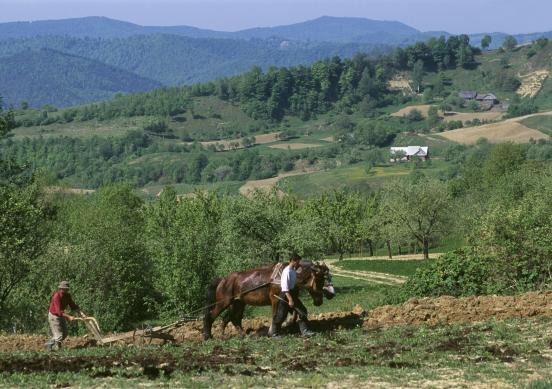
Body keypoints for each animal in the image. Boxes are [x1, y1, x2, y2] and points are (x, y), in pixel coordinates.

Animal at [202, 260, 334, 340]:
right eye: (321, 279)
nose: (331, 294)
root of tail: (223, 280)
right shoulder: (277, 299)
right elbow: (278, 316)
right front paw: (273, 333)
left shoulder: (291, 299)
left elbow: (301, 312)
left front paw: (304, 331)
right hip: (223, 303)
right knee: (210, 316)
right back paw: (208, 336)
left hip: (238, 304)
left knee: (234, 319)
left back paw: (242, 335)